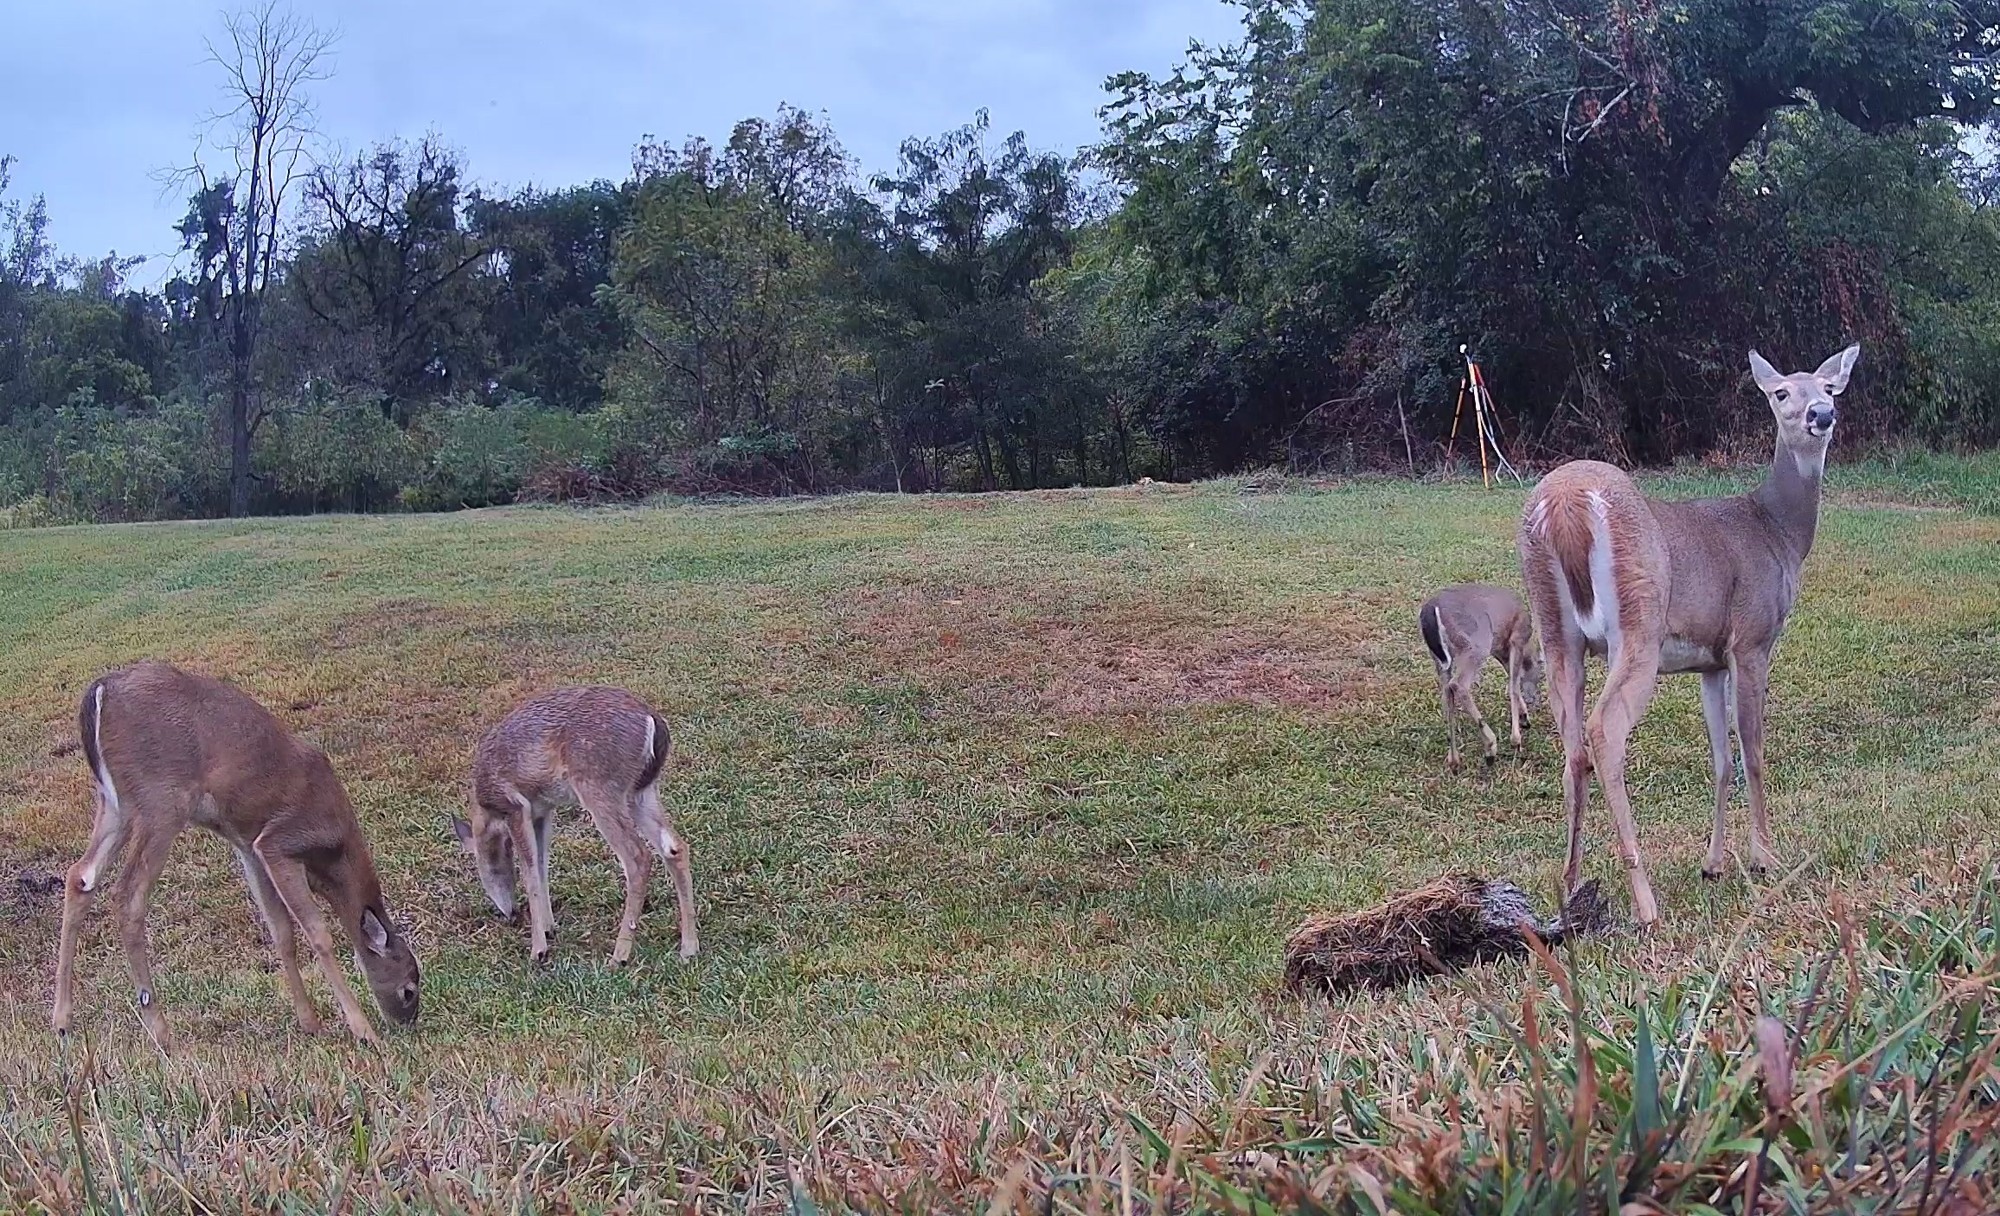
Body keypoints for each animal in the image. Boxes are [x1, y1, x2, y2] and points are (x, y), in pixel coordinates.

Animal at [52, 661, 422, 1050]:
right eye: (409, 989)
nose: (407, 1023)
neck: (334, 855)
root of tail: (99, 691)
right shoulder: (279, 842)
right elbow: (318, 933)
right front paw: (363, 1030)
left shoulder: (249, 846)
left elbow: (281, 931)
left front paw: (310, 1023)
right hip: (162, 801)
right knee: (127, 894)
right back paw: (160, 1031)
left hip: (115, 805)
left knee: (81, 876)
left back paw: (62, 1021)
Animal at [453, 686, 697, 966]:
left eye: (487, 869)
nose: (510, 914)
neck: (486, 806)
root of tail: (653, 721)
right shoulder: (542, 811)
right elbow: (541, 865)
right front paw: (549, 928)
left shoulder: (515, 806)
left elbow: (529, 871)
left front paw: (538, 950)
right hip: (640, 791)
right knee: (675, 847)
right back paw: (689, 947)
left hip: (598, 786)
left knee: (638, 857)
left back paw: (619, 956)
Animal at [1418, 584, 1543, 770]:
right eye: (1540, 675)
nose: (1533, 698)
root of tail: (1430, 610)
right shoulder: (1516, 639)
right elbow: (1513, 686)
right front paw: (1516, 739)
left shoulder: (1499, 649)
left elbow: (1511, 678)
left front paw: (1524, 718)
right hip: (1475, 645)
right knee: (1458, 685)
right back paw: (1490, 748)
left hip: (1439, 659)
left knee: (1446, 694)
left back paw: (1454, 760)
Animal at [1517, 343, 1859, 928]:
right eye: (1780, 392)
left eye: (1830, 388)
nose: (1822, 415)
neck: (1779, 531)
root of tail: (1563, 504)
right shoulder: (1752, 638)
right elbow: (1753, 752)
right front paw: (1766, 859)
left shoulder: (1711, 661)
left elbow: (1721, 760)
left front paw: (1714, 864)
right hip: (1639, 622)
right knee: (1604, 730)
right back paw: (1645, 902)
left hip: (1557, 633)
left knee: (1572, 745)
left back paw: (1569, 888)